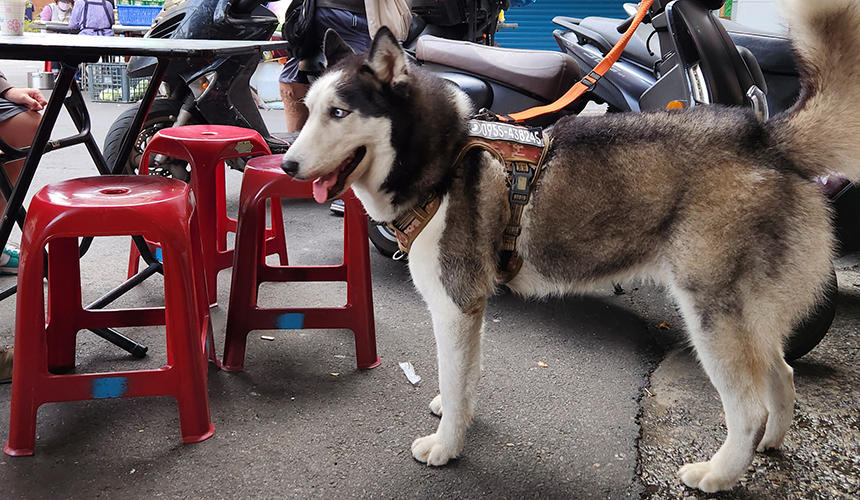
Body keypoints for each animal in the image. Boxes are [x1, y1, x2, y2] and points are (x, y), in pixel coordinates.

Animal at [282, 0, 860, 492]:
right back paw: (770, 445)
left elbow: (454, 369)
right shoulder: (471, 309)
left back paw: (717, 474)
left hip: (711, 316)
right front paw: (455, 408)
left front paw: (447, 446)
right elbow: (465, 377)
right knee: (782, 374)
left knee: (749, 407)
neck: (444, 157)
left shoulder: (454, 304)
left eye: (338, 113)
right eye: (308, 109)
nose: (286, 163)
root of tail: (763, 137)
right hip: (749, 316)